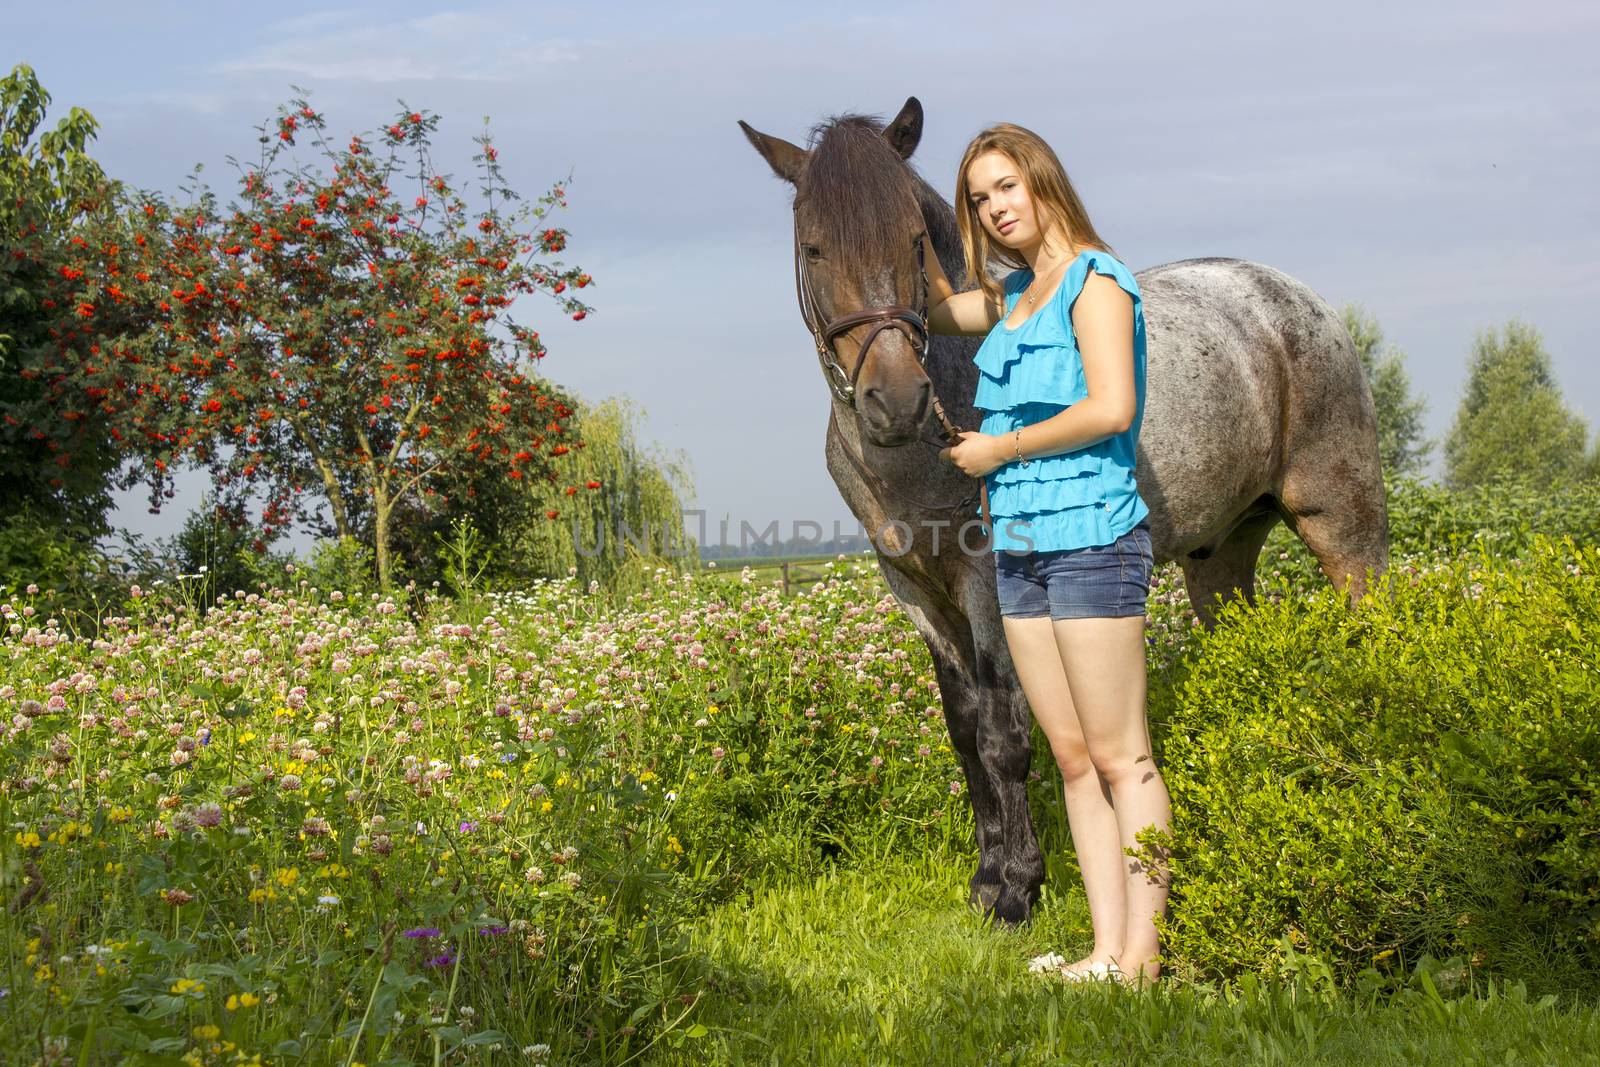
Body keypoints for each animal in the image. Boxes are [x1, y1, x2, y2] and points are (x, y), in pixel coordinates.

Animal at [736, 95, 1388, 921]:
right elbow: (963, 728)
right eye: (814, 248)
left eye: (913, 239)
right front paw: (987, 875)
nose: (896, 400)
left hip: (1343, 520)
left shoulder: (985, 583)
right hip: (1223, 555)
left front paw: (1016, 887)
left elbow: (1002, 731)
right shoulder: (913, 587)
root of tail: (1299, 301)